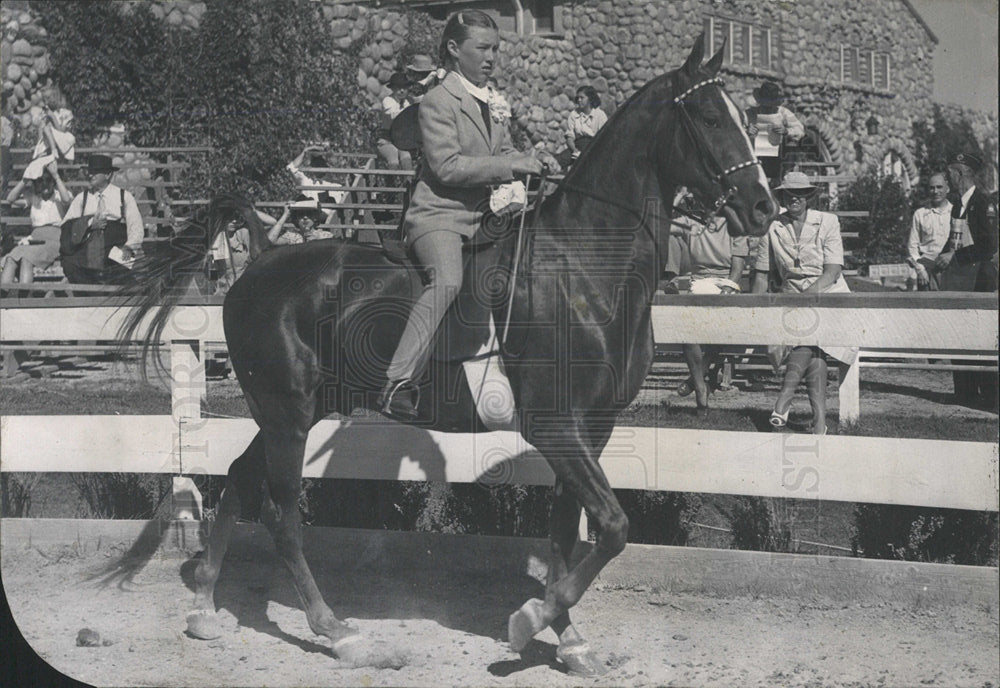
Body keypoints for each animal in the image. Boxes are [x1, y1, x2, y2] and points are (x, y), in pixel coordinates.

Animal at [115, 35, 772, 676]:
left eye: (746, 118)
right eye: (710, 116)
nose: (763, 207)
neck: (585, 267)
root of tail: (259, 258)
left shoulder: (594, 427)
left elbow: (567, 535)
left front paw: (570, 641)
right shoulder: (555, 425)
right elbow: (611, 527)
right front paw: (529, 622)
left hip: (295, 411)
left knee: (237, 478)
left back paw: (205, 607)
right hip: (288, 414)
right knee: (280, 515)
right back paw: (339, 635)